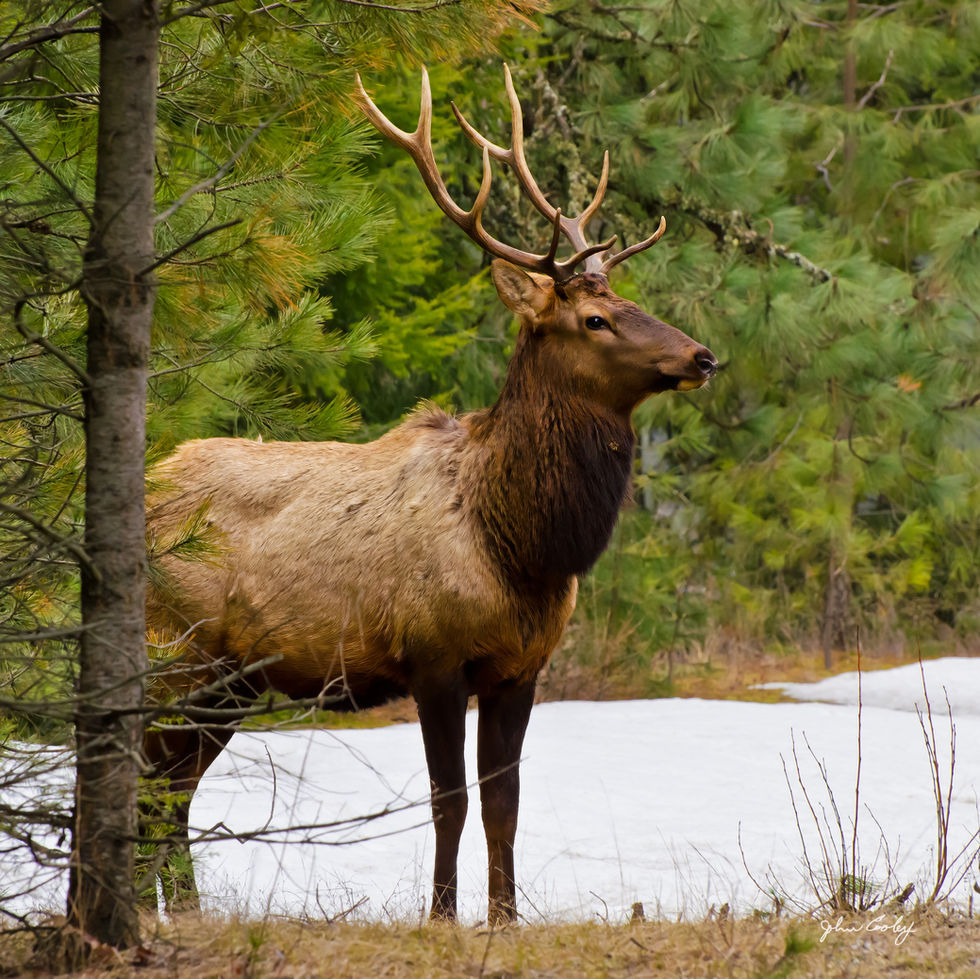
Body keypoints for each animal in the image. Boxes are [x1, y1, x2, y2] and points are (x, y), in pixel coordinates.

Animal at [142, 65, 718, 925]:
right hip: (175, 651)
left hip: (232, 679)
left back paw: (179, 911)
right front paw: (443, 915)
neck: (521, 545)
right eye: (595, 317)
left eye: (631, 301)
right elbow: (450, 799)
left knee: (167, 788)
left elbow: (506, 801)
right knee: (141, 778)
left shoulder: (521, 668)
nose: (702, 355)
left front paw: (505, 918)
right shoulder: (433, 654)